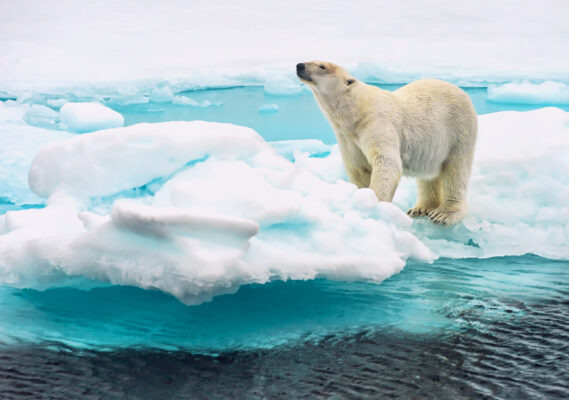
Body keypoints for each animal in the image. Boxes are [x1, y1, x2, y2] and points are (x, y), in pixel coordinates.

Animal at [296, 61, 478, 225]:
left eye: (322, 66)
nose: (300, 66)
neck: (357, 113)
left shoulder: (377, 124)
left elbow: (387, 162)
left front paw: (375, 206)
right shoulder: (348, 138)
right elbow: (358, 169)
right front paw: (361, 199)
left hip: (459, 129)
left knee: (456, 170)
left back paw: (445, 213)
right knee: (429, 175)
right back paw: (420, 208)